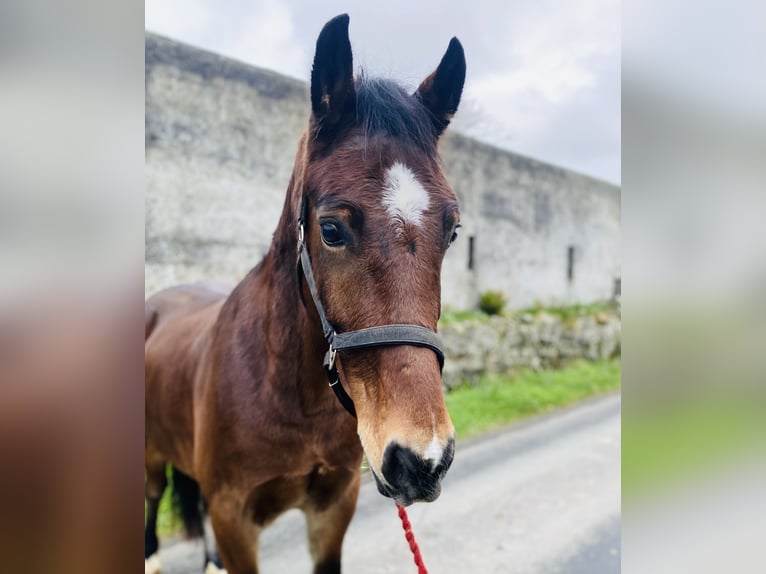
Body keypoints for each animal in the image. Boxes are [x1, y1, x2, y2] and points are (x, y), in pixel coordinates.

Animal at [145, 14, 468, 574]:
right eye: (331, 229)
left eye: (452, 231)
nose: (422, 460)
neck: (288, 390)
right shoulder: (236, 520)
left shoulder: (333, 508)